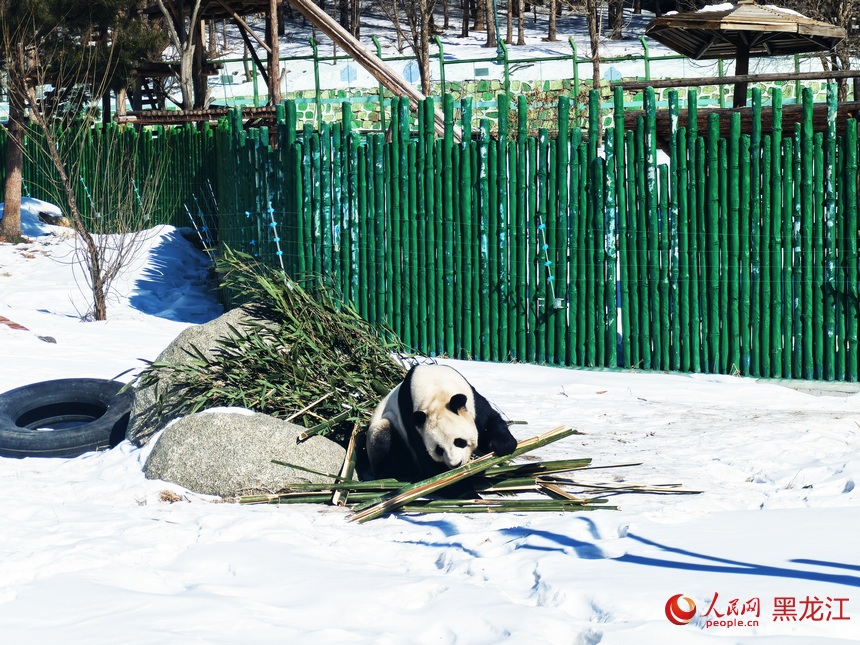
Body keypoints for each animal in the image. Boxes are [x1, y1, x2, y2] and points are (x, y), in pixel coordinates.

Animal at [364, 364, 516, 480]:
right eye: (439, 449)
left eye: (459, 441)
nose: (455, 464)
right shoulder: (412, 420)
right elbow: (427, 458)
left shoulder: (472, 399)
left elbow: (489, 421)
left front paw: (503, 445)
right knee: (382, 436)